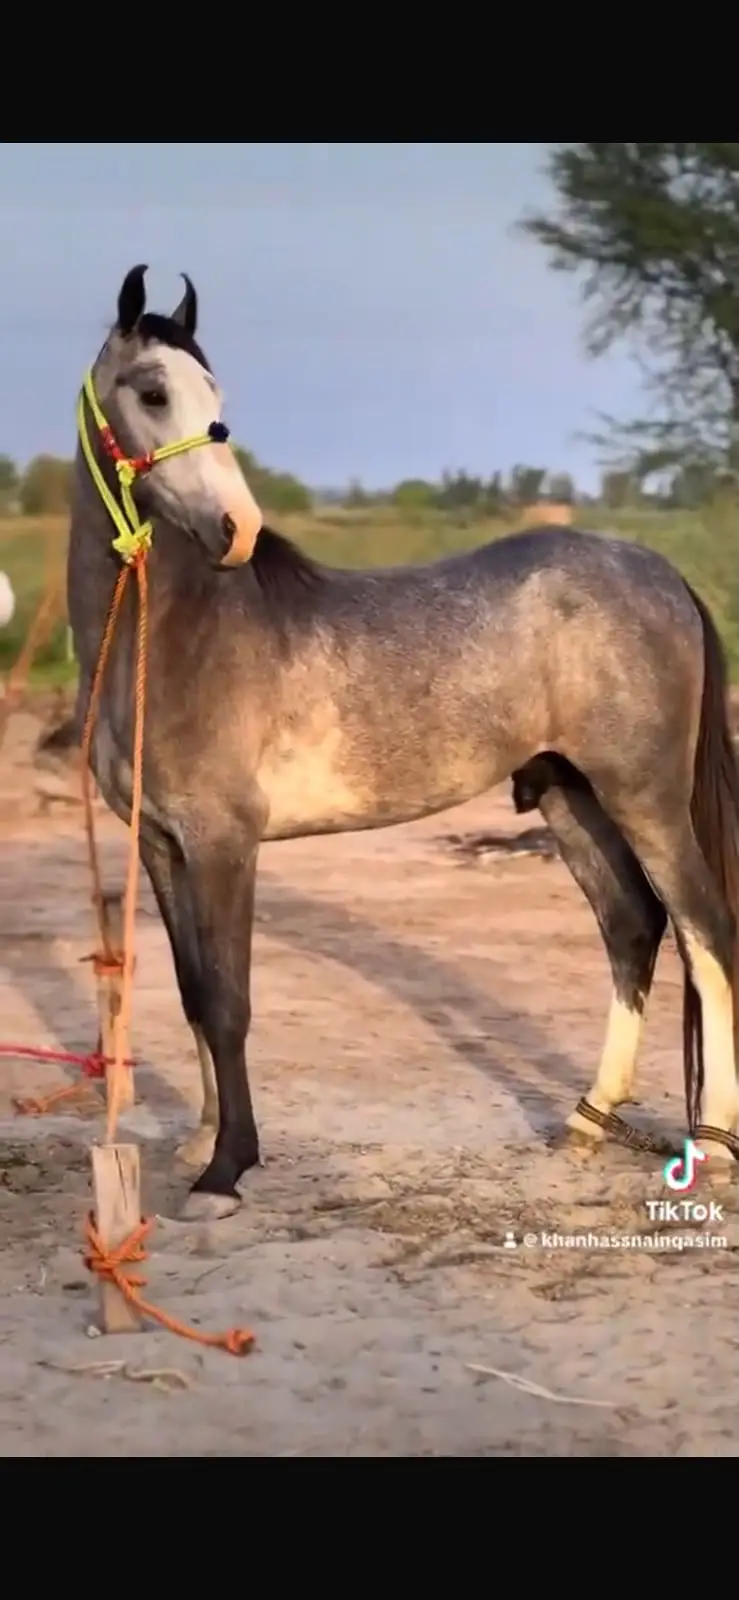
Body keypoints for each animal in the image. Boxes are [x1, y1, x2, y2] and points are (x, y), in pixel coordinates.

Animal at [67, 263, 739, 1221]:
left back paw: (711, 1146)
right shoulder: (161, 844)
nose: (236, 530)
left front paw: (226, 1170)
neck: (174, 635)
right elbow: (195, 994)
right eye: (153, 391)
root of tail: (657, 570)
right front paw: (198, 1141)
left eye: (214, 395)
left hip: (643, 796)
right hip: (568, 795)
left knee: (703, 931)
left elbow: (230, 1002)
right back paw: (585, 1122)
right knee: (631, 926)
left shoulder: (225, 844)